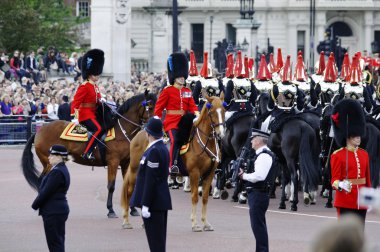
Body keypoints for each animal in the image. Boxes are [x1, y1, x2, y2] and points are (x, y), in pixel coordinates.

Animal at [20, 91, 157, 218]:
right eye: (150, 106)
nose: (158, 122)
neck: (121, 131)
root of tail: (39, 131)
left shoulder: (125, 163)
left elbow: (129, 185)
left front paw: (132, 209)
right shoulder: (113, 162)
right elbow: (111, 186)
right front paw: (111, 210)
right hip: (48, 162)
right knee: (42, 181)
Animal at [120, 92, 224, 230]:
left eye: (223, 110)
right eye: (211, 112)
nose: (221, 134)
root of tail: (140, 133)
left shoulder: (209, 174)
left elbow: (205, 198)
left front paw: (206, 223)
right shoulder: (194, 173)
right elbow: (195, 197)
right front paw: (195, 224)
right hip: (134, 170)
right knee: (129, 192)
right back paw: (126, 221)